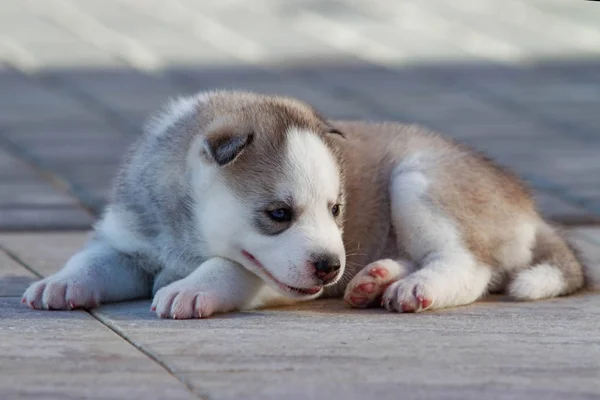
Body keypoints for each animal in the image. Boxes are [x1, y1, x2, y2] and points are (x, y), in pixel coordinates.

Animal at [22, 90, 584, 318]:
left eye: (336, 209)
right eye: (278, 214)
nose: (331, 266)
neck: (185, 233)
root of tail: (531, 207)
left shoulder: (271, 276)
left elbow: (229, 267)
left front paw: (193, 288)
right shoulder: (129, 242)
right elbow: (93, 260)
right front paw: (61, 283)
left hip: (418, 179)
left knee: (469, 266)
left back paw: (415, 287)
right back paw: (374, 279)